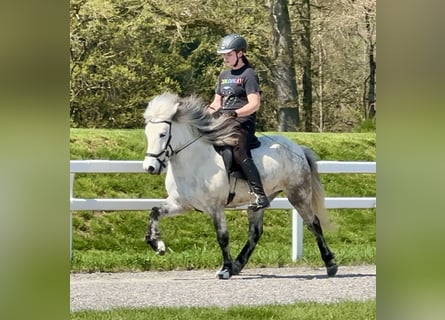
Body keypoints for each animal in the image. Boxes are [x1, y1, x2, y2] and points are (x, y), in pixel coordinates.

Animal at [142, 91, 336, 278]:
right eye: (147, 133)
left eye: (162, 134)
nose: (149, 167)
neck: (194, 161)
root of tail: (298, 148)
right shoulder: (181, 204)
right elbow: (155, 212)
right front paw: (157, 245)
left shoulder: (216, 207)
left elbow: (222, 237)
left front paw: (225, 269)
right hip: (259, 202)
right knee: (255, 232)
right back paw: (238, 265)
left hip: (298, 195)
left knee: (313, 223)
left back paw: (330, 264)